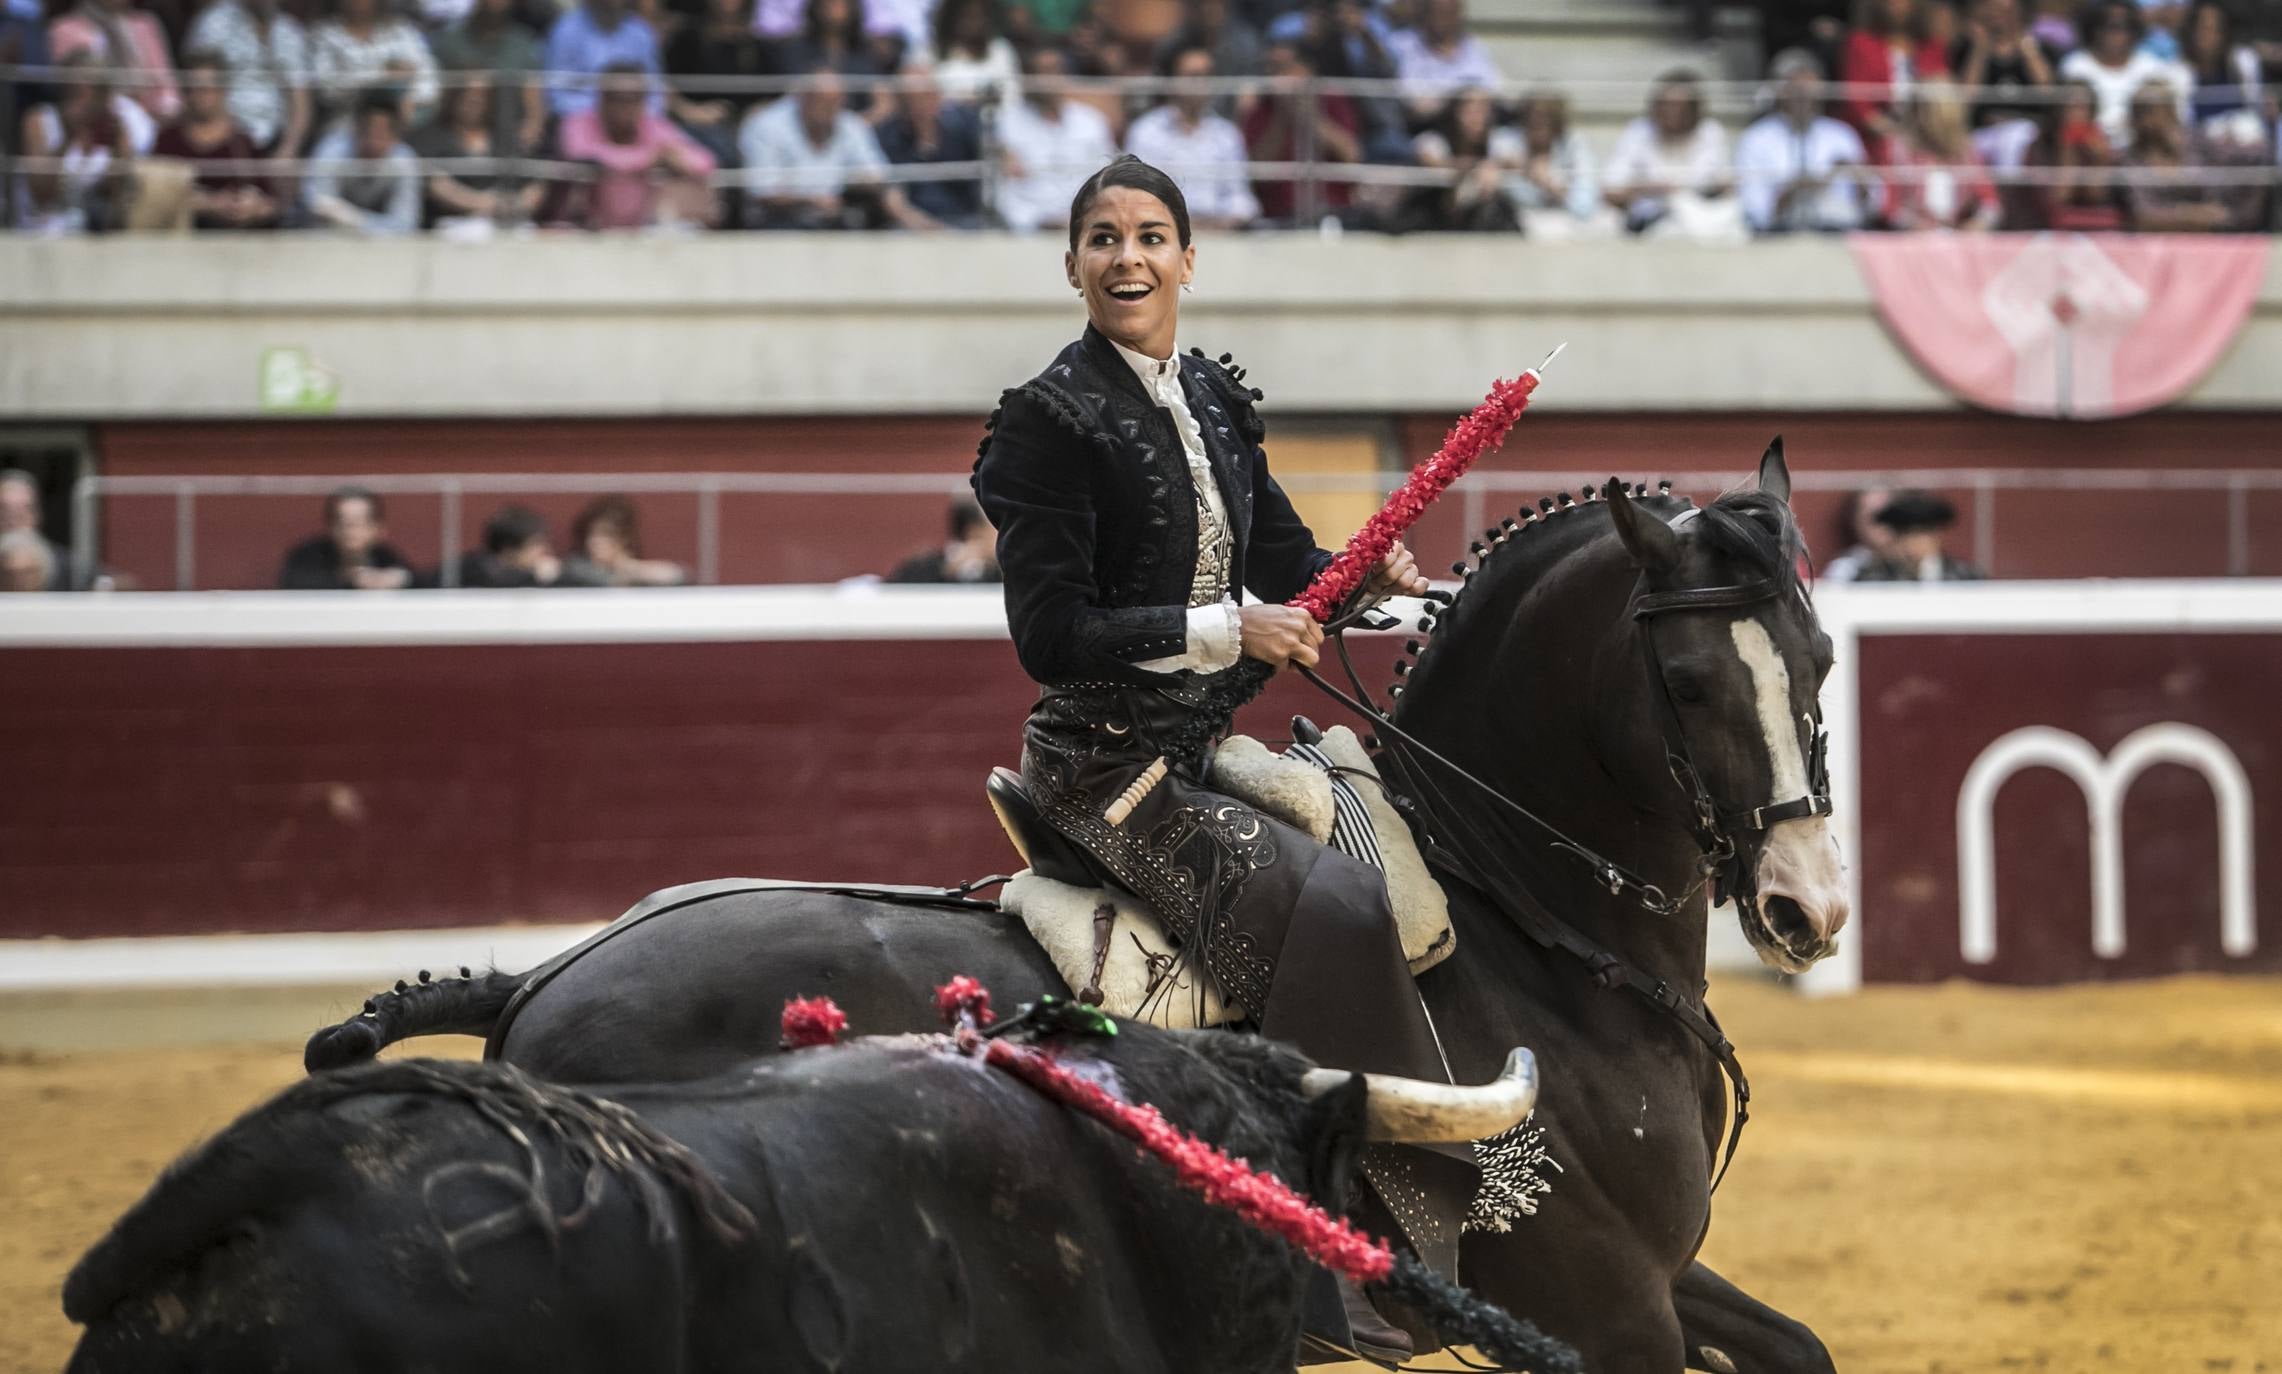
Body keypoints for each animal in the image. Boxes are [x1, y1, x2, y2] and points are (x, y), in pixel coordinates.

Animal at [308, 445, 1834, 1360]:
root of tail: (539, 981)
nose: (1802, 906)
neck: (1518, 922)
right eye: (1686, 683)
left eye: (1818, 656)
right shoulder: (1603, 1305)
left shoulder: (1656, 1277)